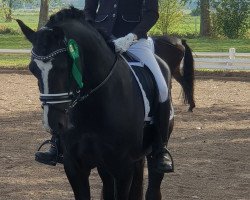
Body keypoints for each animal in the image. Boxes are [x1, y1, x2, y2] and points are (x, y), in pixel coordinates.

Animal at [17, 7, 174, 199]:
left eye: (63, 66)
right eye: (33, 69)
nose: (53, 123)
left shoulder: (123, 168)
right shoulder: (74, 167)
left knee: (154, 186)